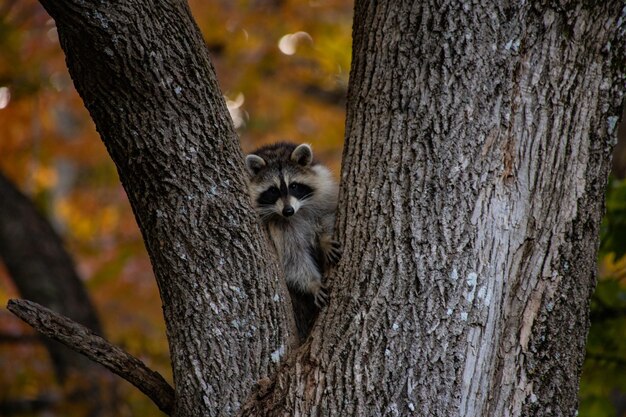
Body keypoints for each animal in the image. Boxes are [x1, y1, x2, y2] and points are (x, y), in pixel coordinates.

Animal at [245, 141, 342, 306]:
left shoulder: (324, 194)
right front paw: (313, 284)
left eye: (294, 186)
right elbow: (292, 258)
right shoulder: (278, 228)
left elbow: (327, 217)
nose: (288, 210)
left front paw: (325, 240)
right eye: (273, 190)